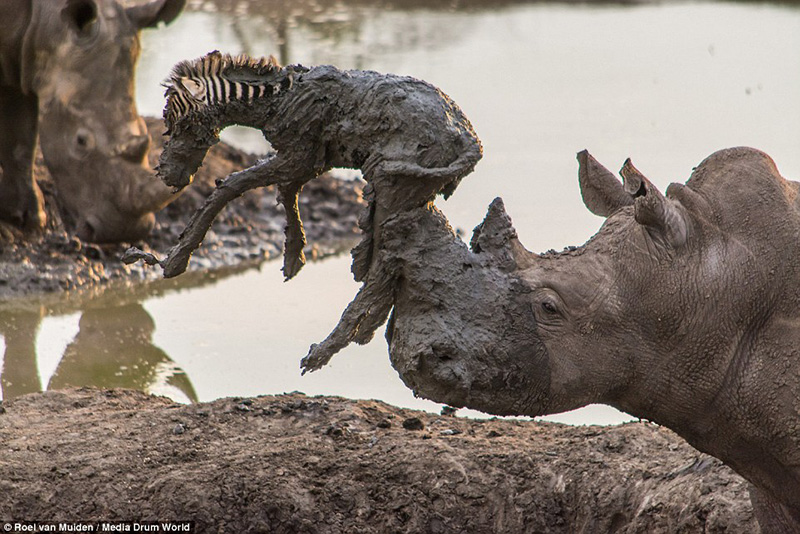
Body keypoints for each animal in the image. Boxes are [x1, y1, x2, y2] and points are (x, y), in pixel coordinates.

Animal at [0, 0, 183, 243]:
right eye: (81, 141)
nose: (124, 232)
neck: (46, 21)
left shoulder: (21, 58)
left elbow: (21, 138)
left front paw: (27, 218)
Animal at [155, 50, 482, 292]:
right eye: (168, 125)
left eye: (182, 125)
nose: (166, 175)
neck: (277, 100)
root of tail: (469, 137)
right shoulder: (310, 161)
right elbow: (286, 194)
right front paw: (293, 258)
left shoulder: (297, 156)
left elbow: (231, 185)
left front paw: (175, 261)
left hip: (398, 186)